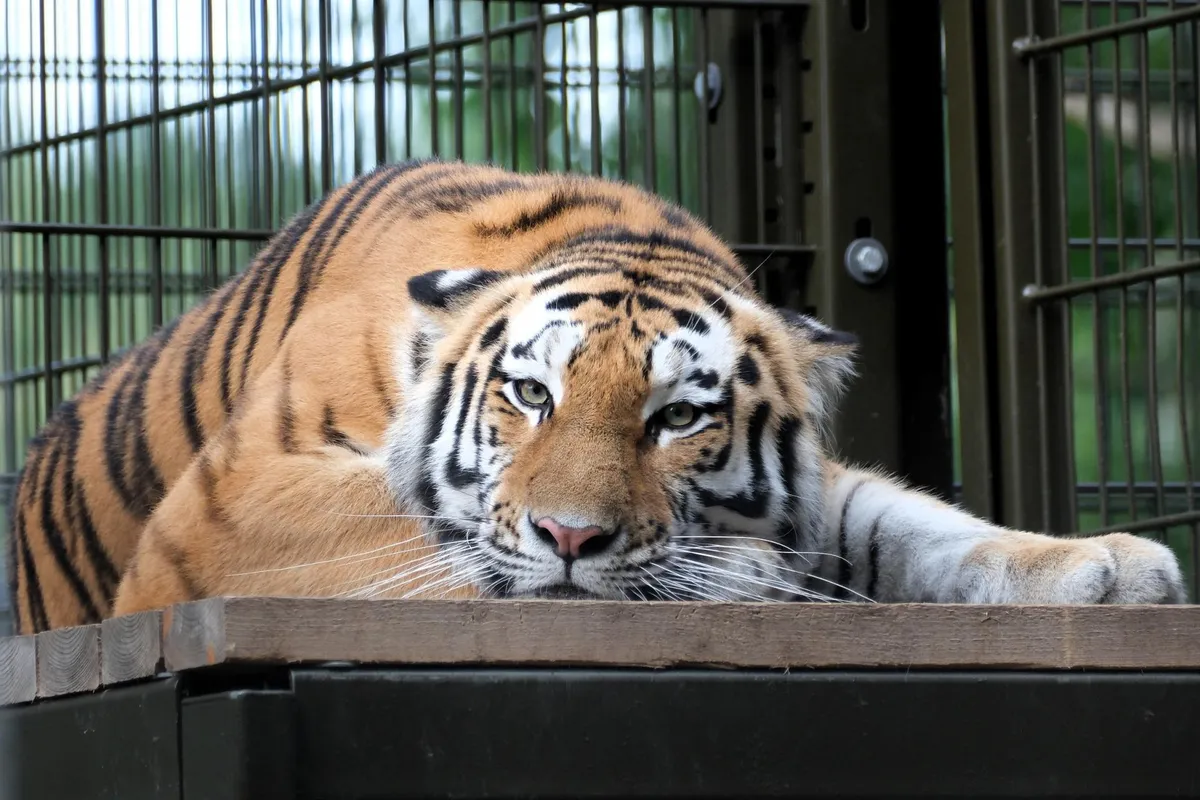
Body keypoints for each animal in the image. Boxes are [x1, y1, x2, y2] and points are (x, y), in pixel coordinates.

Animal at [4, 155, 1185, 633]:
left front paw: (1111, 566)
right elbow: (420, 533)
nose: (574, 538)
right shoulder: (229, 506)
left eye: (678, 419)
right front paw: (741, 580)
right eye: (529, 393)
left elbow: (910, 522)